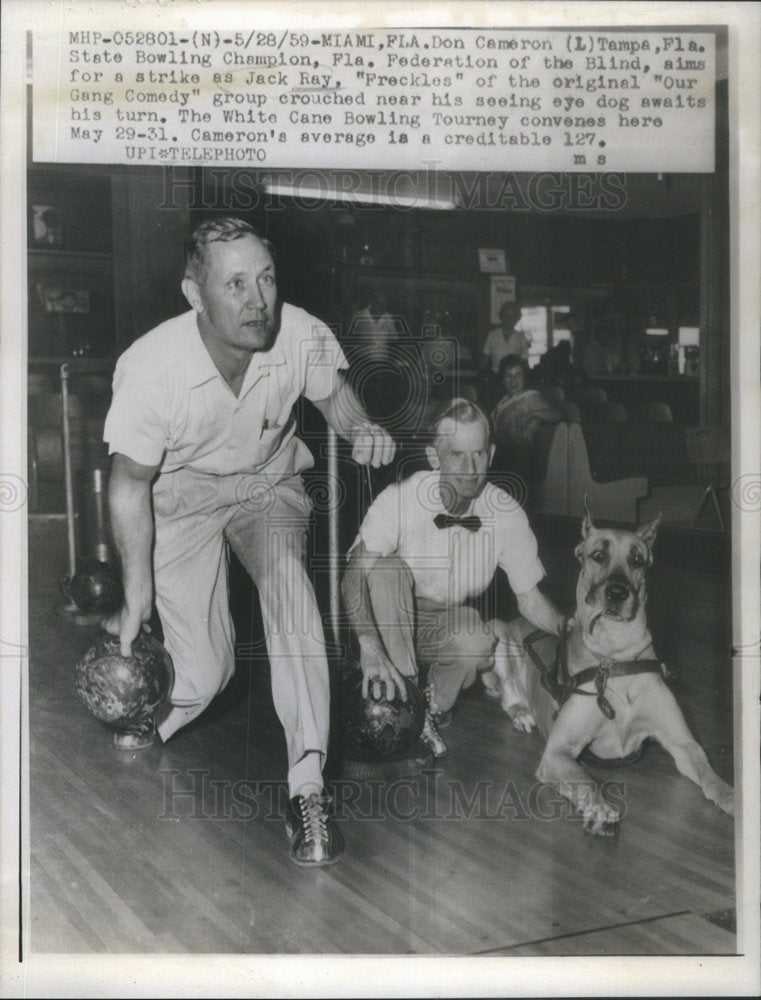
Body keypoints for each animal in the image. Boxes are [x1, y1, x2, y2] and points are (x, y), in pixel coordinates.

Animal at [484, 508, 732, 836]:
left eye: (637, 559)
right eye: (598, 555)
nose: (617, 592)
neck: (615, 657)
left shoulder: (684, 744)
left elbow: (709, 775)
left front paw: (733, 797)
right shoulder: (557, 753)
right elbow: (585, 779)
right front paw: (599, 807)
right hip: (496, 631)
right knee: (506, 693)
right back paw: (520, 712)